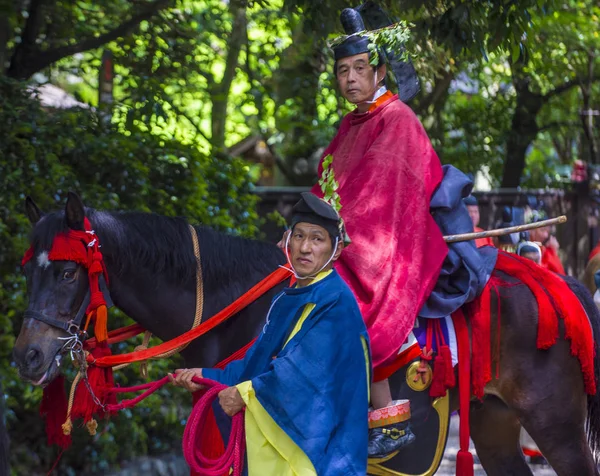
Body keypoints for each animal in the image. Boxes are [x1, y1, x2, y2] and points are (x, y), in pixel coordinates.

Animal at [10, 194, 600, 476]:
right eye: (29, 270)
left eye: (67, 273)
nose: (27, 356)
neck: (233, 309)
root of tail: (559, 284)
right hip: (495, 419)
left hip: (555, 421)